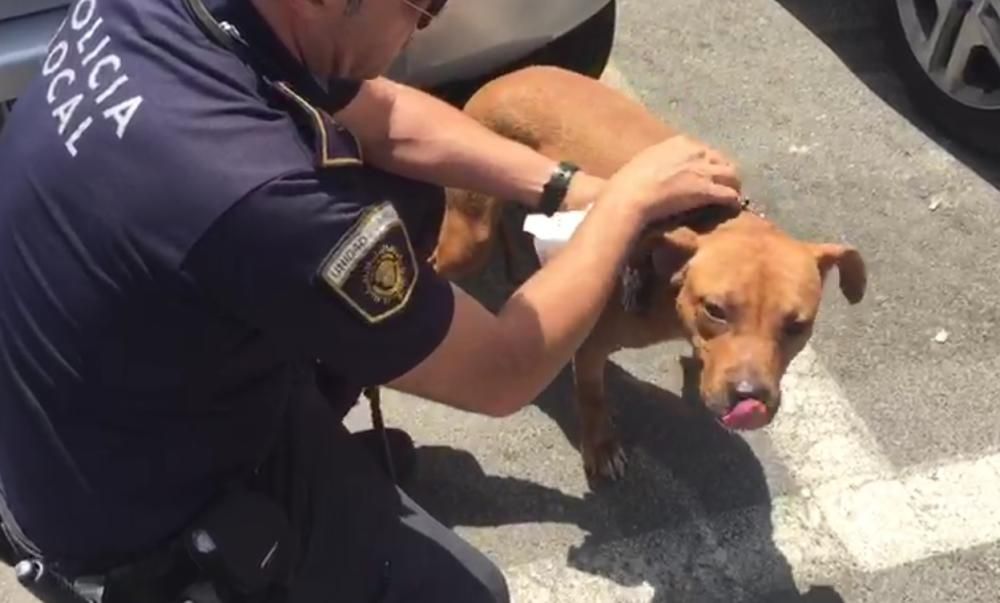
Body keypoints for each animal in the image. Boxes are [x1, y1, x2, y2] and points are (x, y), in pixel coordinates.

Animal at [430, 66, 868, 482]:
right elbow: (592, 395)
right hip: (468, 238)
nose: (750, 396)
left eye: (797, 326)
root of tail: (506, 77)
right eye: (715, 310)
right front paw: (601, 446)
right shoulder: (590, 347)